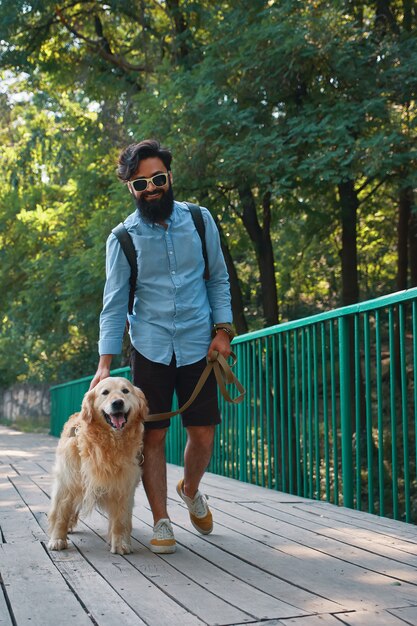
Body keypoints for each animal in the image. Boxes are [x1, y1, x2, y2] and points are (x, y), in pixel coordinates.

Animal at [47, 376, 146, 552]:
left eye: (125, 391)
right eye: (105, 392)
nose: (118, 403)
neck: (109, 443)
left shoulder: (124, 486)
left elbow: (121, 519)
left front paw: (121, 543)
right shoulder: (67, 482)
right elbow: (60, 514)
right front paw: (57, 539)